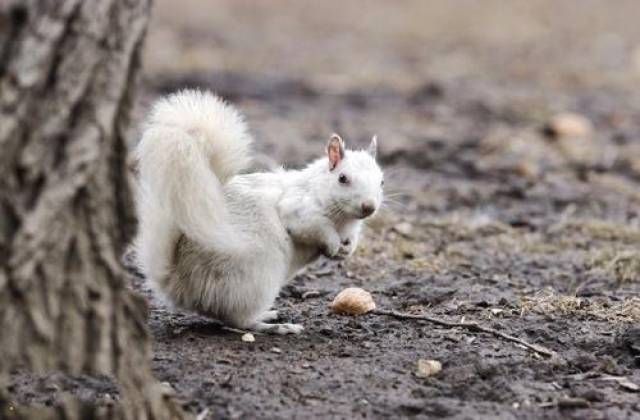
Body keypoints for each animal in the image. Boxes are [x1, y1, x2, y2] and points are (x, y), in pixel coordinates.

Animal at [134, 89, 382, 334]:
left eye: (381, 180)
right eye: (342, 178)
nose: (369, 207)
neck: (343, 219)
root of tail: (179, 284)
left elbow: (351, 239)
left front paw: (346, 250)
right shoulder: (297, 209)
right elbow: (316, 228)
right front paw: (332, 246)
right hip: (257, 276)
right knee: (238, 320)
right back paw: (275, 325)